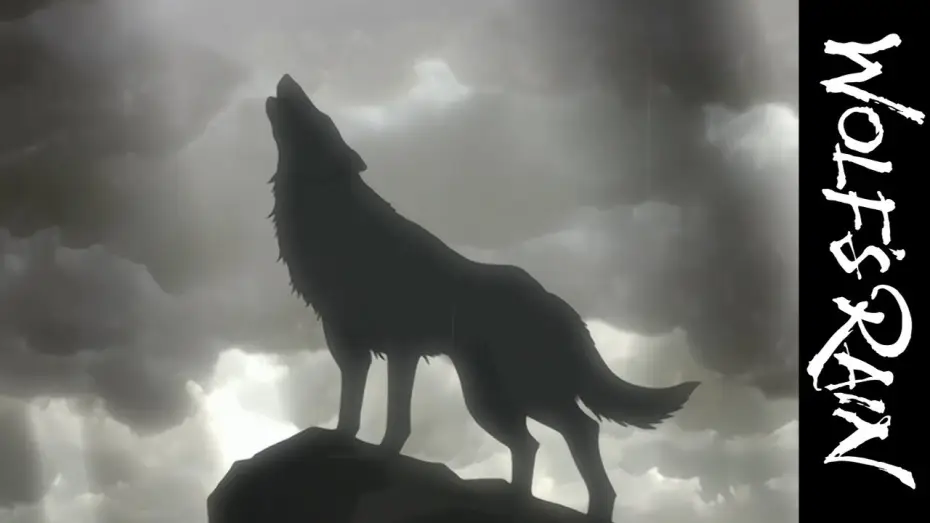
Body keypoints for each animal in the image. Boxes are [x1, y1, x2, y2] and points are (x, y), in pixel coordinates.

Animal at [266, 74, 698, 521]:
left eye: (319, 117)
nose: (287, 78)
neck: (338, 222)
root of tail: (560, 306)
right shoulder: (348, 344)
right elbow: (351, 409)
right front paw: (342, 440)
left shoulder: (401, 349)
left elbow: (396, 419)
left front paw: (380, 455)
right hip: (493, 399)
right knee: (536, 443)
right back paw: (514, 497)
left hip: (515, 396)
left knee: (580, 431)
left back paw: (584, 507)